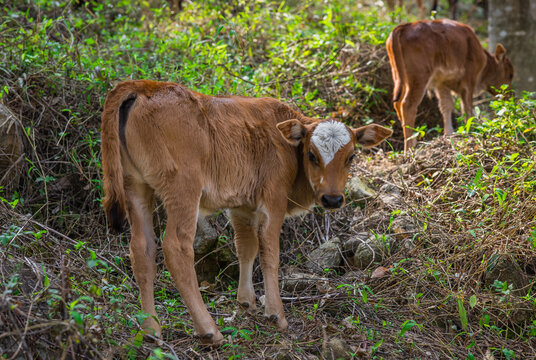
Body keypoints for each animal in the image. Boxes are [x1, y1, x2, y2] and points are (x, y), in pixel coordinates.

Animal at [101, 80, 394, 344]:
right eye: (311, 155)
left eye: (351, 157)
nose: (332, 199)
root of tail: (143, 86)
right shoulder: (273, 202)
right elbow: (270, 255)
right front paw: (275, 314)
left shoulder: (241, 207)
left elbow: (246, 248)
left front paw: (246, 302)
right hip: (183, 190)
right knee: (176, 248)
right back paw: (209, 330)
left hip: (135, 187)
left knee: (142, 250)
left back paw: (150, 330)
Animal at [386, 19, 516, 152]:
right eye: (510, 75)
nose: (510, 95)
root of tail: (405, 27)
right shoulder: (468, 82)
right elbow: (467, 109)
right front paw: (470, 131)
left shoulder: (442, 84)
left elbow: (446, 106)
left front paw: (448, 134)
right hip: (419, 80)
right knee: (408, 105)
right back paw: (409, 148)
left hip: (399, 79)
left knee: (397, 104)